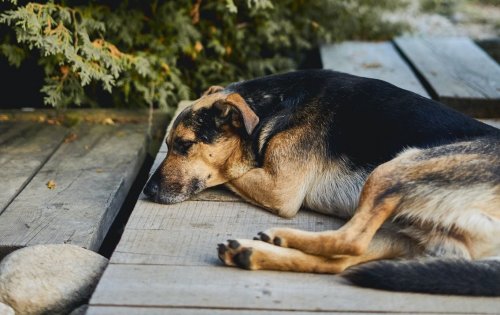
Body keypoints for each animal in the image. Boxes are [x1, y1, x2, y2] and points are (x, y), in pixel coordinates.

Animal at [142, 70, 500, 298]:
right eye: (168, 144)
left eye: (184, 145)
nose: (147, 191)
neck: (276, 105)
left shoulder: (280, 189)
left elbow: (230, 169)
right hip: (405, 229)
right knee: (340, 260)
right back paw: (251, 253)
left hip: (394, 169)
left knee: (351, 240)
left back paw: (279, 237)